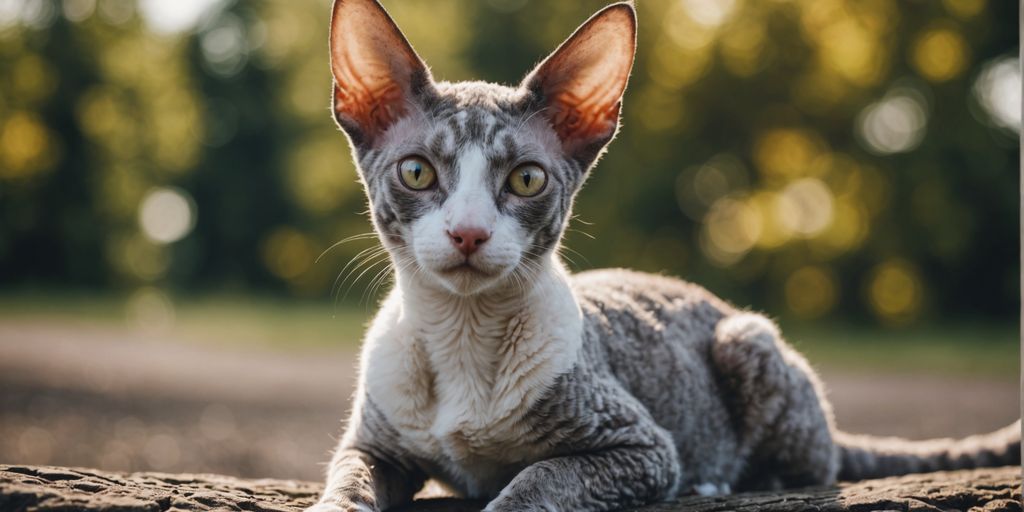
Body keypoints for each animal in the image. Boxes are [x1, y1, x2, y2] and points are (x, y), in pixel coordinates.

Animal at [307, 1, 1019, 512]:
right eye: (418, 172)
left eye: (527, 180)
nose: (468, 233)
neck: (461, 335)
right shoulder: (372, 447)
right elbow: (346, 485)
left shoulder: (639, 448)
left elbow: (534, 485)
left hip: (749, 341)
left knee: (813, 466)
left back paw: (717, 483)